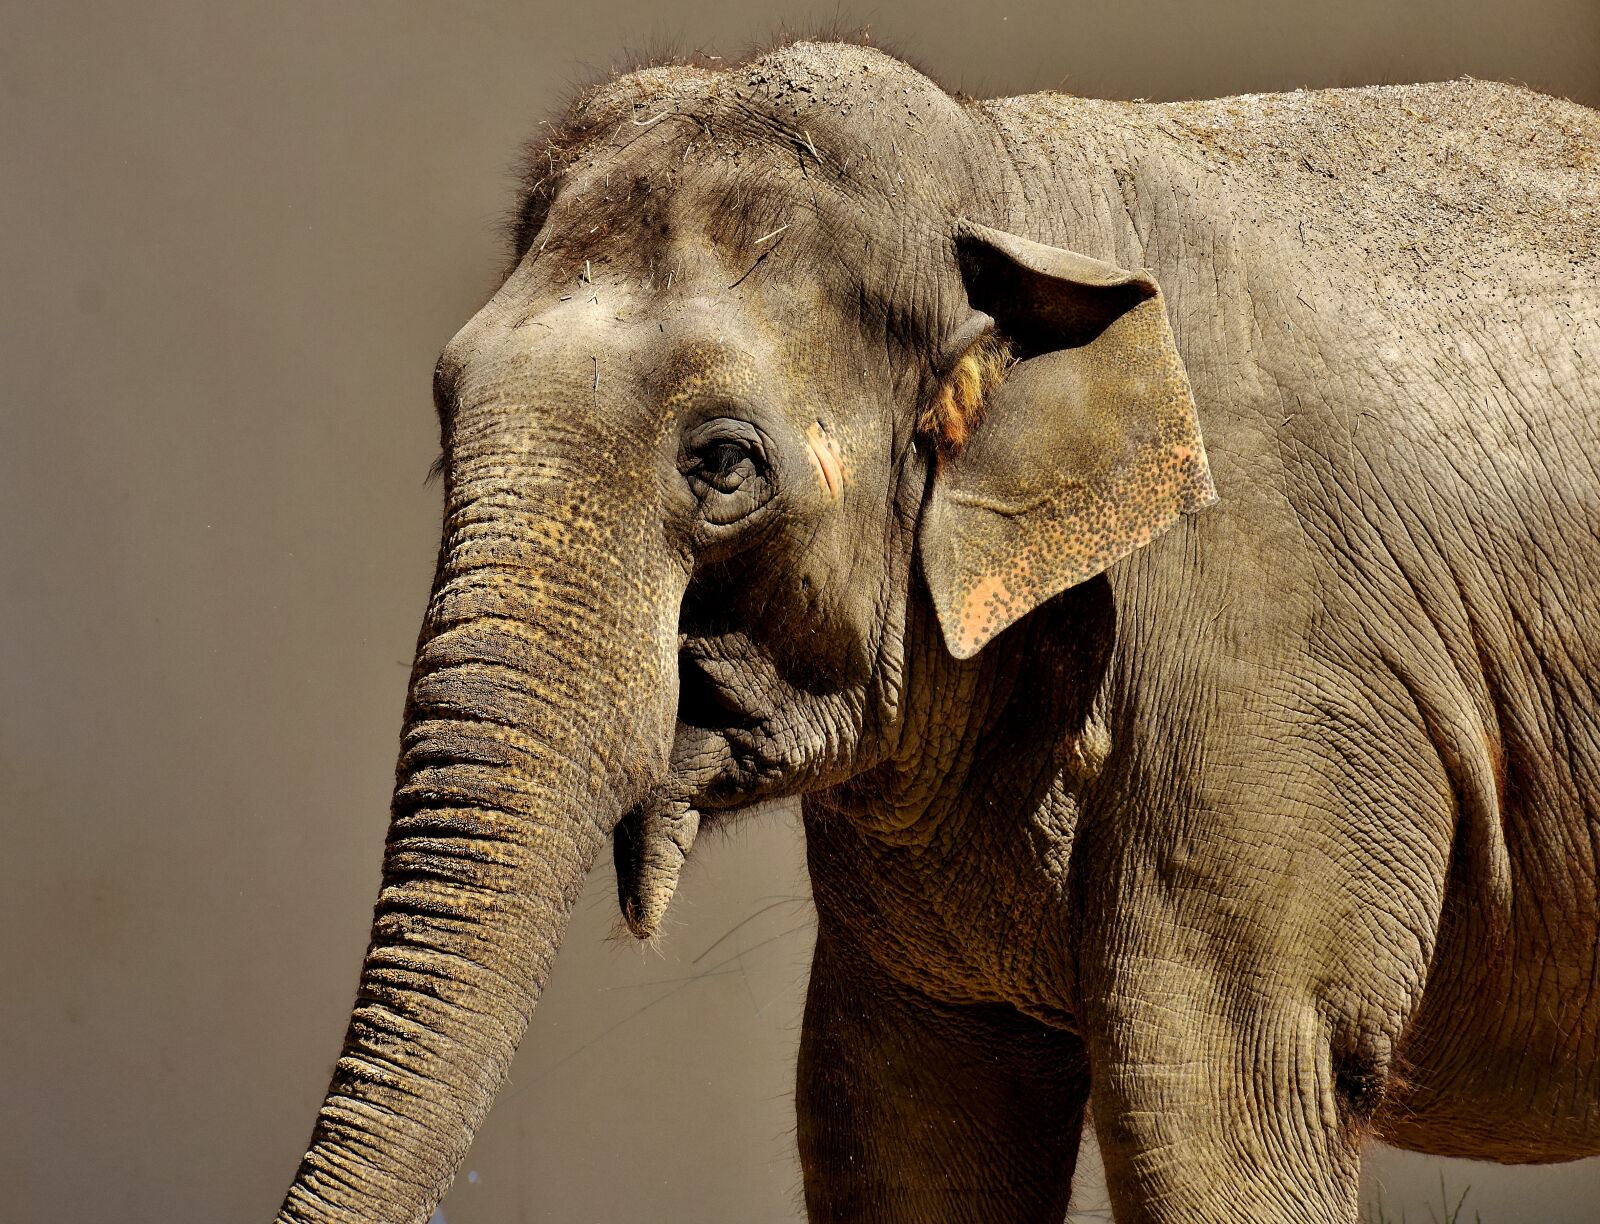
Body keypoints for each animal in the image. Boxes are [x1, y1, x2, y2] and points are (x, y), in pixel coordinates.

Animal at [275, 39, 1600, 1223]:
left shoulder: (1275, 675)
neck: (1006, 184)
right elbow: (899, 1111)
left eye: (722, 465)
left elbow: (1219, 1111)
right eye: (444, 415)